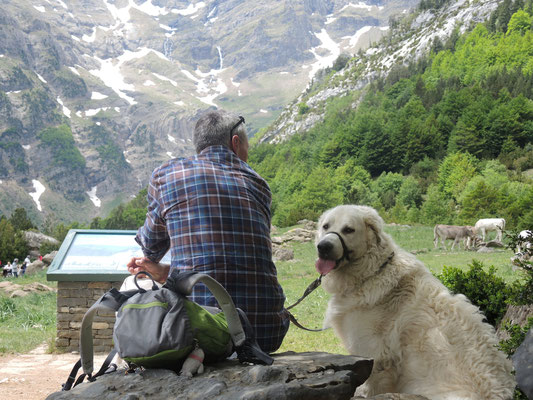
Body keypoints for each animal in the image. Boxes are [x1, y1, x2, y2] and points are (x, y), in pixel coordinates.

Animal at [314, 206, 512, 400]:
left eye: (348, 230)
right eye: (326, 226)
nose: (323, 246)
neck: (372, 272)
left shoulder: (376, 356)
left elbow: (370, 388)